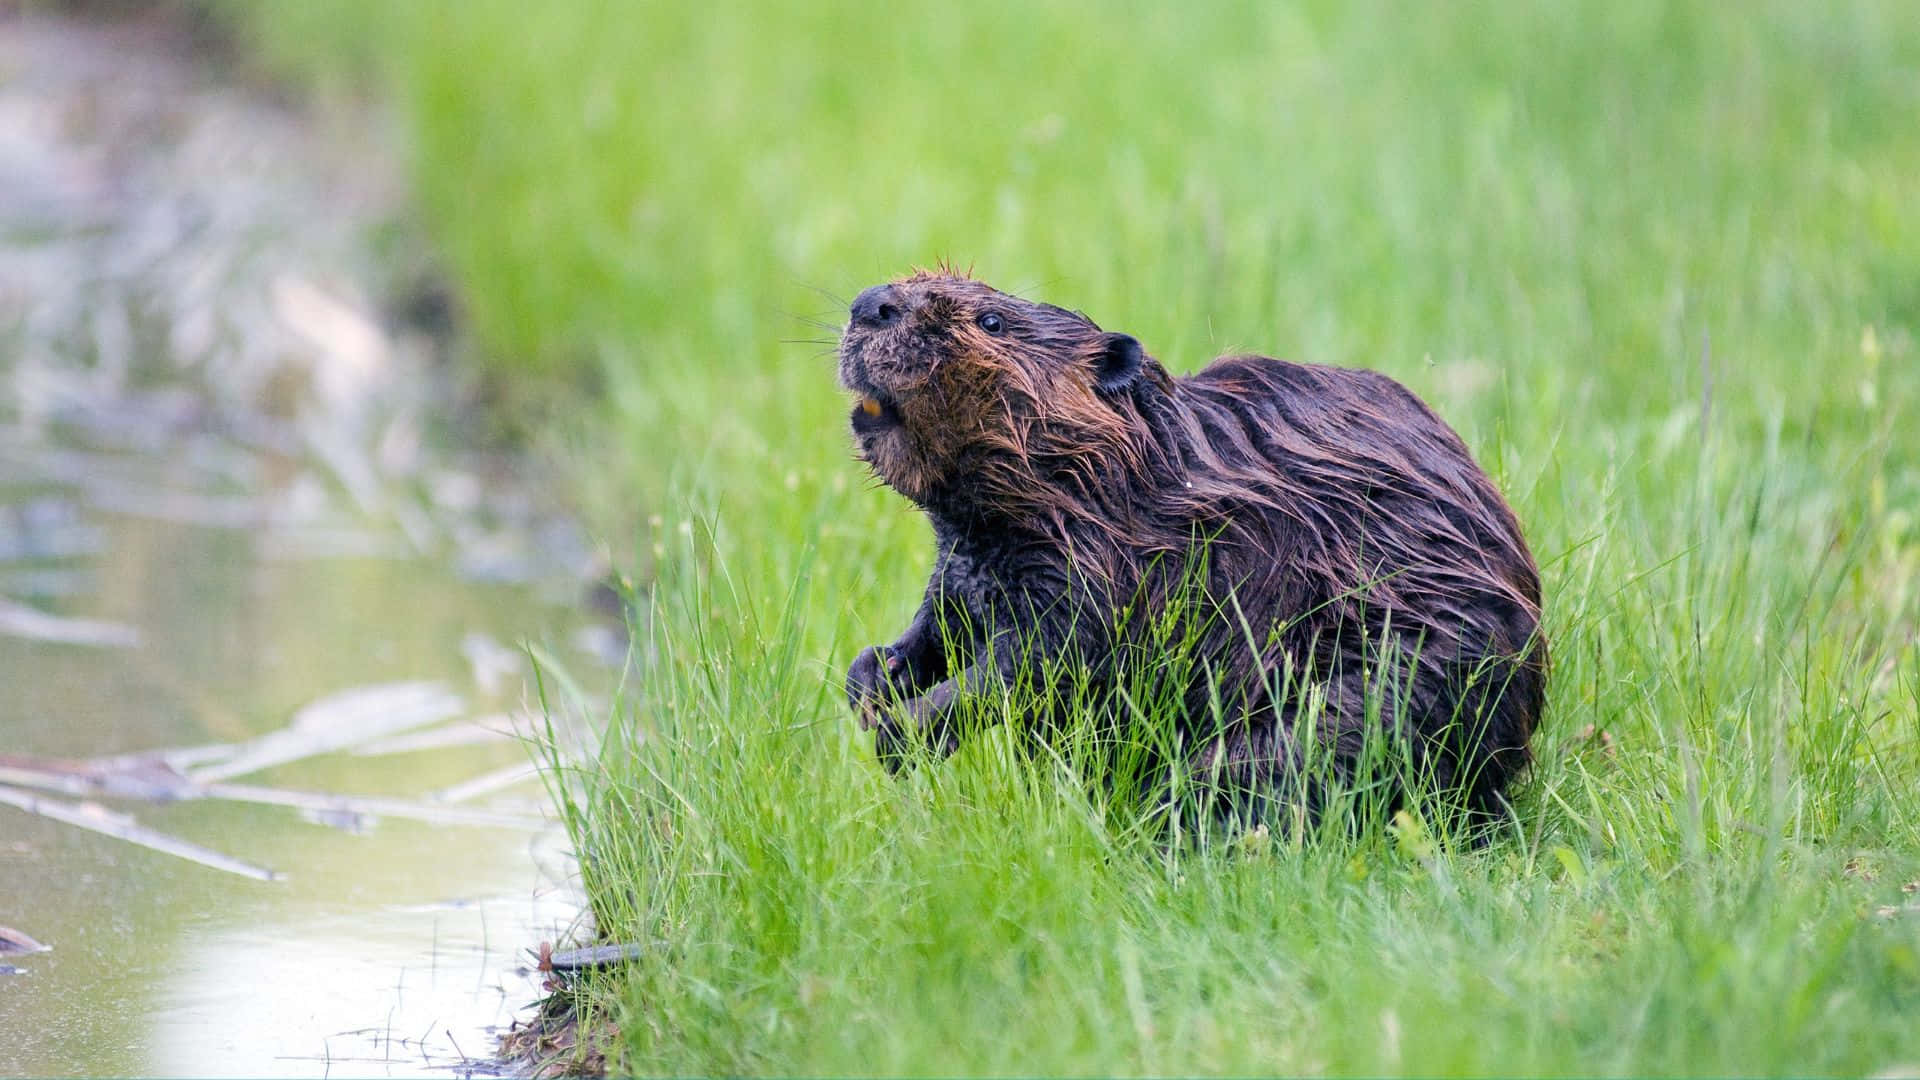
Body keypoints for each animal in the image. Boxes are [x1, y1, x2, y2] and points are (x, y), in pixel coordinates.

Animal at [840, 269, 1543, 822]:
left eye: (991, 320)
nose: (872, 303)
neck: (1131, 466)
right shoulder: (967, 561)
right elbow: (941, 624)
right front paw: (870, 679)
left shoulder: (1114, 562)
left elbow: (1044, 659)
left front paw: (899, 732)